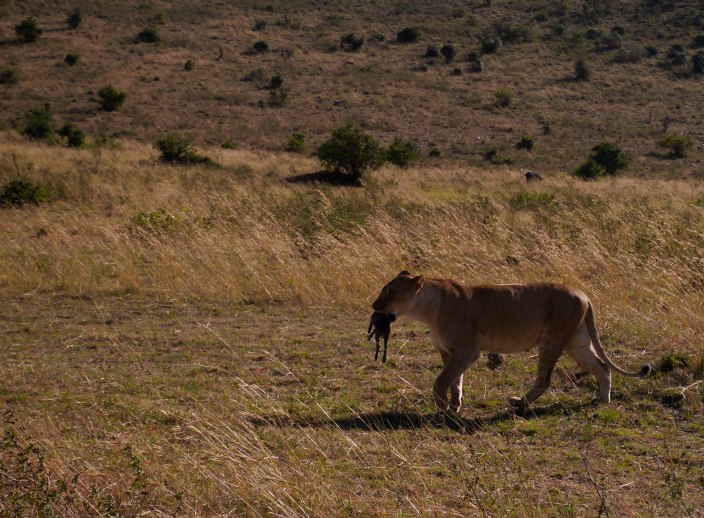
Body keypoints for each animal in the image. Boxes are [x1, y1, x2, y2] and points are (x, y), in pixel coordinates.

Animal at [371, 271, 652, 413]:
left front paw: (440, 407)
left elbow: (442, 380)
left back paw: (520, 403)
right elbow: (455, 381)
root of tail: (584, 294)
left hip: (552, 340)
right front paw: (454, 406)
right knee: (602, 368)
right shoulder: (449, 352)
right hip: (577, 343)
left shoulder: (467, 351)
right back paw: (603, 400)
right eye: (383, 290)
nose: (374, 306)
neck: (426, 309)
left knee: (544, 380)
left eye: (390, 292)